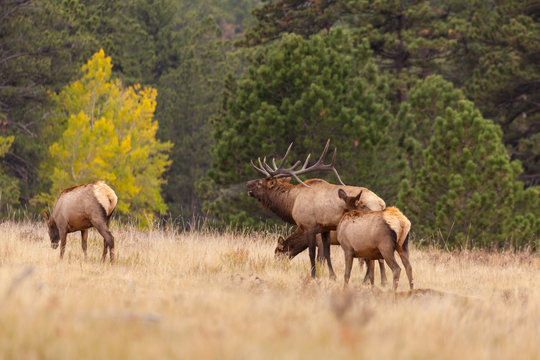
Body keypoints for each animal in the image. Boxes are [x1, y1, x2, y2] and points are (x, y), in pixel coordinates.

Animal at [247, 140, 386, 278]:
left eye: (260, 183)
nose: (248, 183)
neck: (292, 201)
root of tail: (381, 203)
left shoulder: (310, 227)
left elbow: (313, 255)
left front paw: (314, 276)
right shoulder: (325, 229)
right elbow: (327, 255)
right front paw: (332, 276)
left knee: (374, 259)